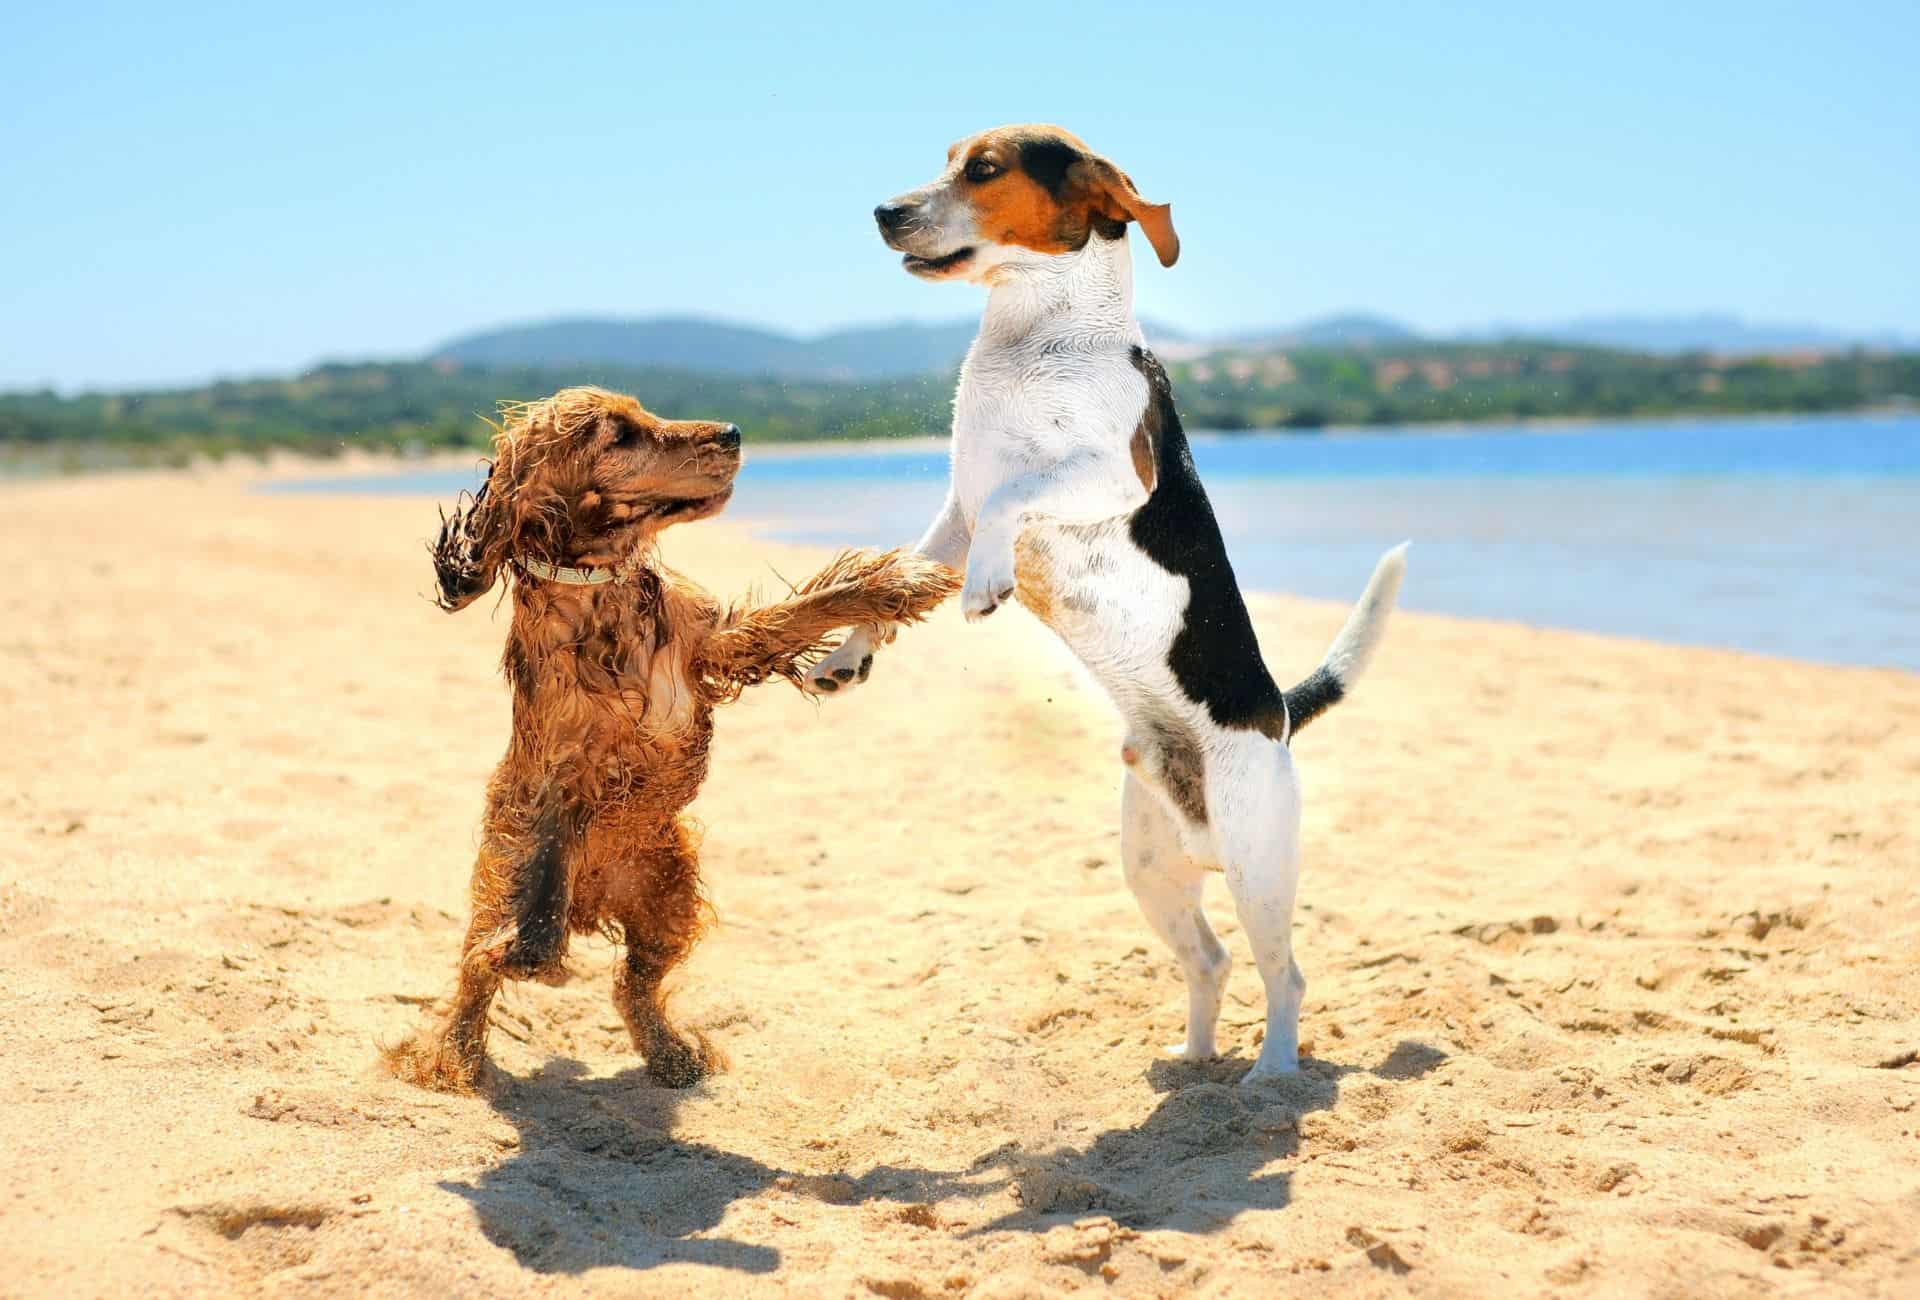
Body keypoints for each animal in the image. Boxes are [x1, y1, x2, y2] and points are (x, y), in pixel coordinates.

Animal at [387, 382, 960, 1083]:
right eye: (621, 435)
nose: (734, 432)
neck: (601, 590)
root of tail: (597, 903)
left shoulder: (715, 644)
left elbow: (803, 611)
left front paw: (897, 582)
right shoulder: (560, 771)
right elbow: (545, 875)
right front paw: (531, 949)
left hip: (670, 899)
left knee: (633, 983)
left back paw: (672, 1053)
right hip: (505, 875)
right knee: (477, 969)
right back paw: (454, 1055)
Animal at [810, 126, 1413, 1083]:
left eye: (985, 169)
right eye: (946, 158)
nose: (883, 212)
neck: (1036, 337)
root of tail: (1278, 713)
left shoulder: (1099, 476)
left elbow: (1018, 491)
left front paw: (986, 584)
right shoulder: (954, 515)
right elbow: (894, 585)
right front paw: (845, 654)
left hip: (1257, 862)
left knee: (1286, 976)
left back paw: (1270, 1074)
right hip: (1151, 870)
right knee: (1211, 961)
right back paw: (1192, 1058)